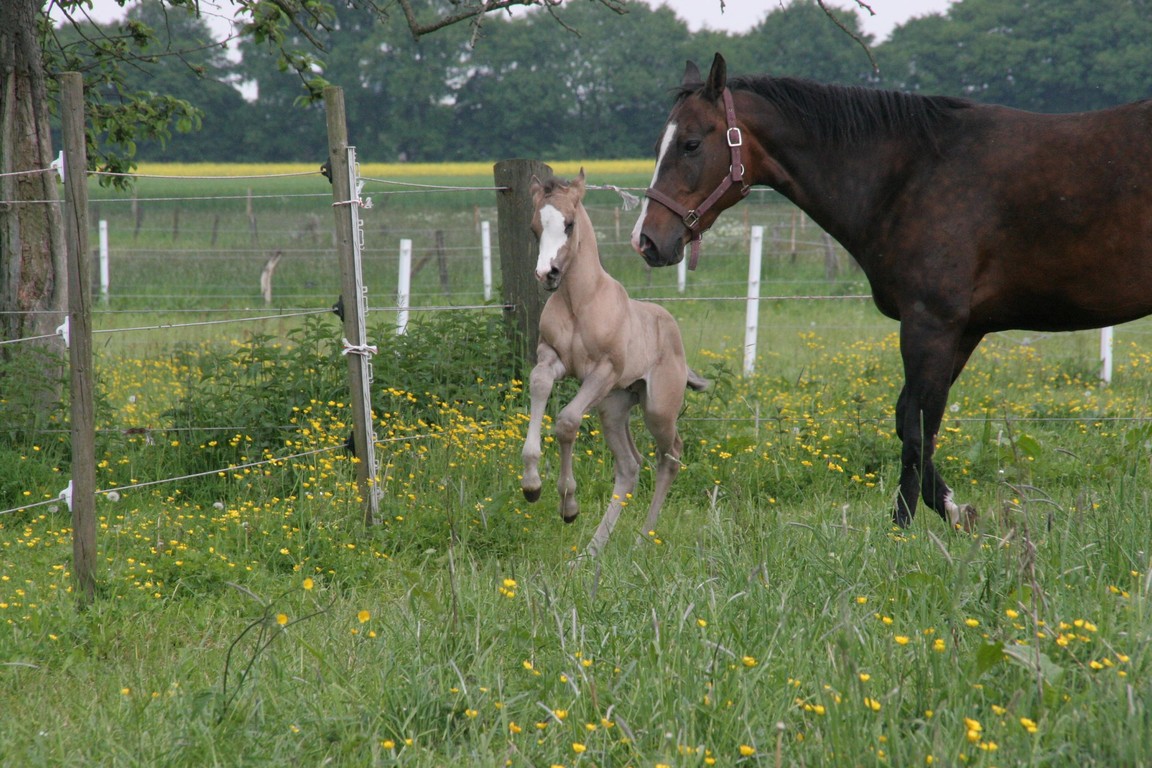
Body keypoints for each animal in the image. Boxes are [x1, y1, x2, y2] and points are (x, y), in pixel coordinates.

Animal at [631, 54, 1152, 531]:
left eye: (691, 144)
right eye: (658, 145)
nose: (647, 240)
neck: (909, 173)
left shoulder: (932, 323)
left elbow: (918, 428)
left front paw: (902, 527)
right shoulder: (962, 330)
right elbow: (910, 419)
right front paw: (955, 510)